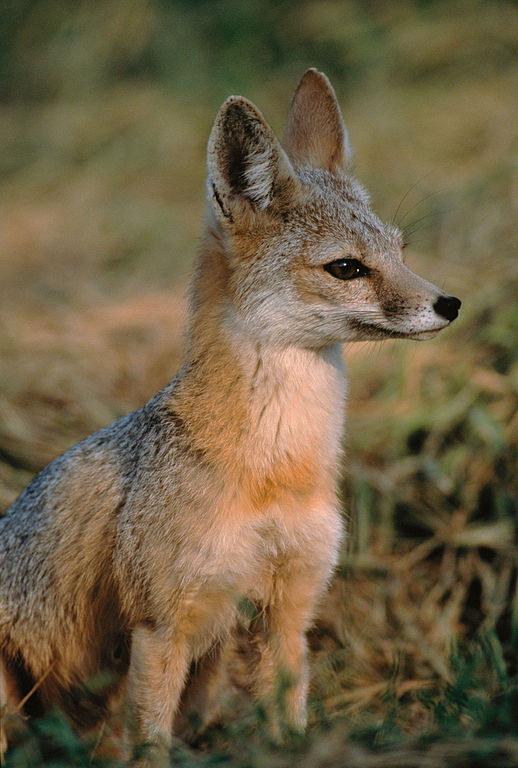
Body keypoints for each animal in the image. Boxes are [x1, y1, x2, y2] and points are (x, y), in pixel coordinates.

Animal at [0, 68, 460, 763]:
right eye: (347, 268)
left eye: (402, 251)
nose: (450, 303)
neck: (273, 468)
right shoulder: (162, 624)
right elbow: (151, 743)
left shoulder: (289, 611)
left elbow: (289, 719)